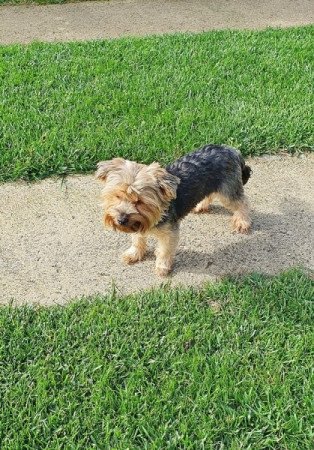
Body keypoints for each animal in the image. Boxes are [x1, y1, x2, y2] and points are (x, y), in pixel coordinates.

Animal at [97, 146, 251, 276]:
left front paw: (162, 267)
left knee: (242, 202)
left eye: (139, 201)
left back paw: (242, 222)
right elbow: (137, 239)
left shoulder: (169, 232)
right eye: (117, 196)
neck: (156, 214)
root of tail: (232, 150)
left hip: (228, 190)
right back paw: (201, 205)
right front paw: (134, 253)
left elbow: (164, 250)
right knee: (210, 194)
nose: (121, 220)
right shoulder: (136, 224)